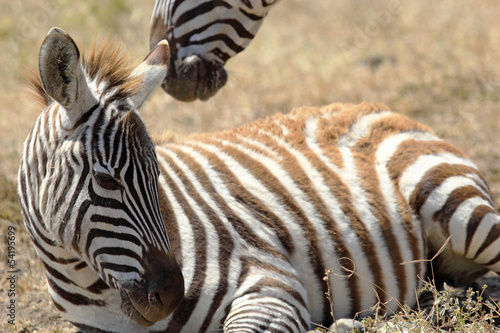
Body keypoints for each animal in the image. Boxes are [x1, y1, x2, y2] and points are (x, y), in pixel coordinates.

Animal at [19, 27, 500, 330]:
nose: (170, 296)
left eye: (158, 177)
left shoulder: (271, 279)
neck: (90, 286)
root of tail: (371, 105)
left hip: (455, 204)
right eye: (107, 181)